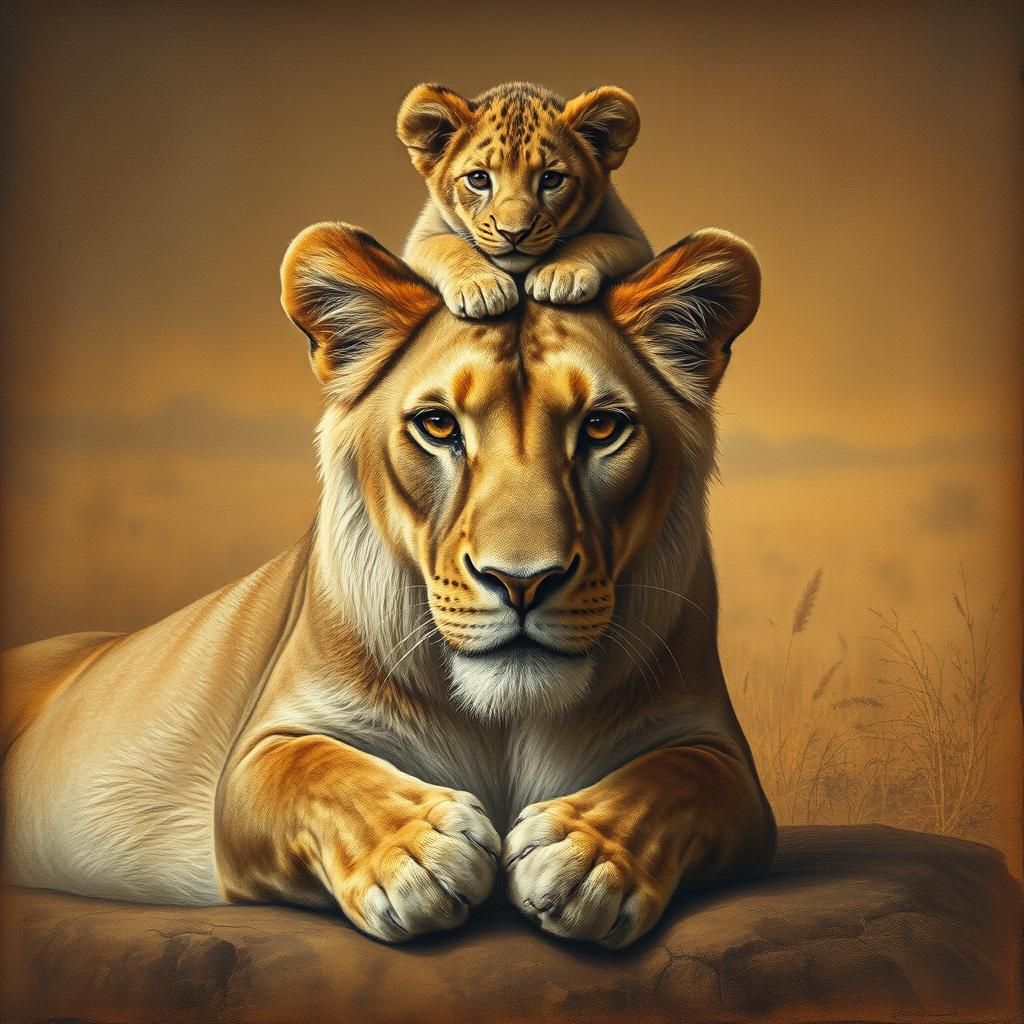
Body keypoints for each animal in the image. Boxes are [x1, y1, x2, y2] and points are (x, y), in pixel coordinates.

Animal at [1, 222, 775, 949]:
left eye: (603, 428)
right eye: (437, 425)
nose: (521, 581)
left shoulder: (727, 762)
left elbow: (677, 780)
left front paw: (585, 859)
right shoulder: (257, 753)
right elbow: (317, 771)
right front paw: (420, 855)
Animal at [398, 80, 652, 318]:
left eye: (551, 179)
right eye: (479, 179)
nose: (513, 234)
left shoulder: (635, 241)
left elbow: (596, 239)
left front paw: (560, 273)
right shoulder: (419, 240)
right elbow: (447, 244)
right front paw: (481, 287)